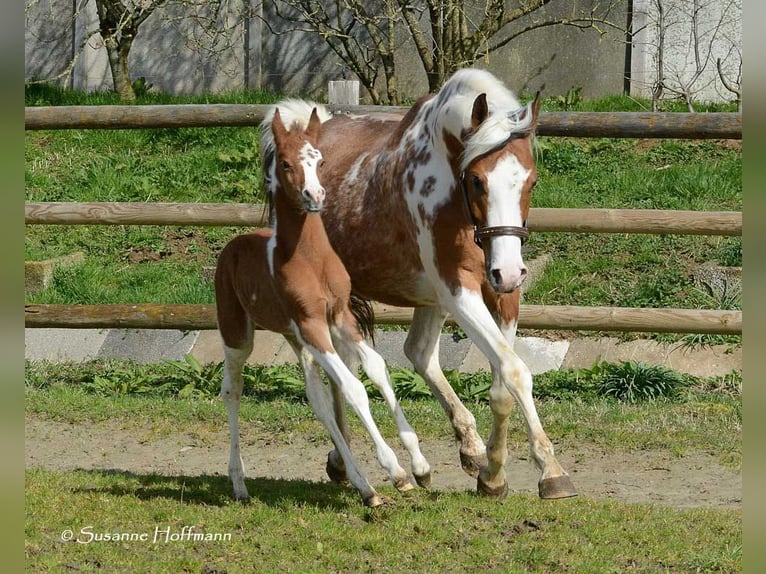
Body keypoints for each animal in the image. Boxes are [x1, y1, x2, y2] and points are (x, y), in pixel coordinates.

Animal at [306, 67, 576, 500]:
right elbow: (515, 370)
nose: (509, 270)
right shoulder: (458, 290)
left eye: (530, 181)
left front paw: (492, 473)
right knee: (341, 369)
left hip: (424, 299)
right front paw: (551, 472)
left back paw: (466, 448)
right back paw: (350, 461)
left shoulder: (501, 294)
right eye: (478, 181)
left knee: (415, 353)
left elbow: (503, 382)